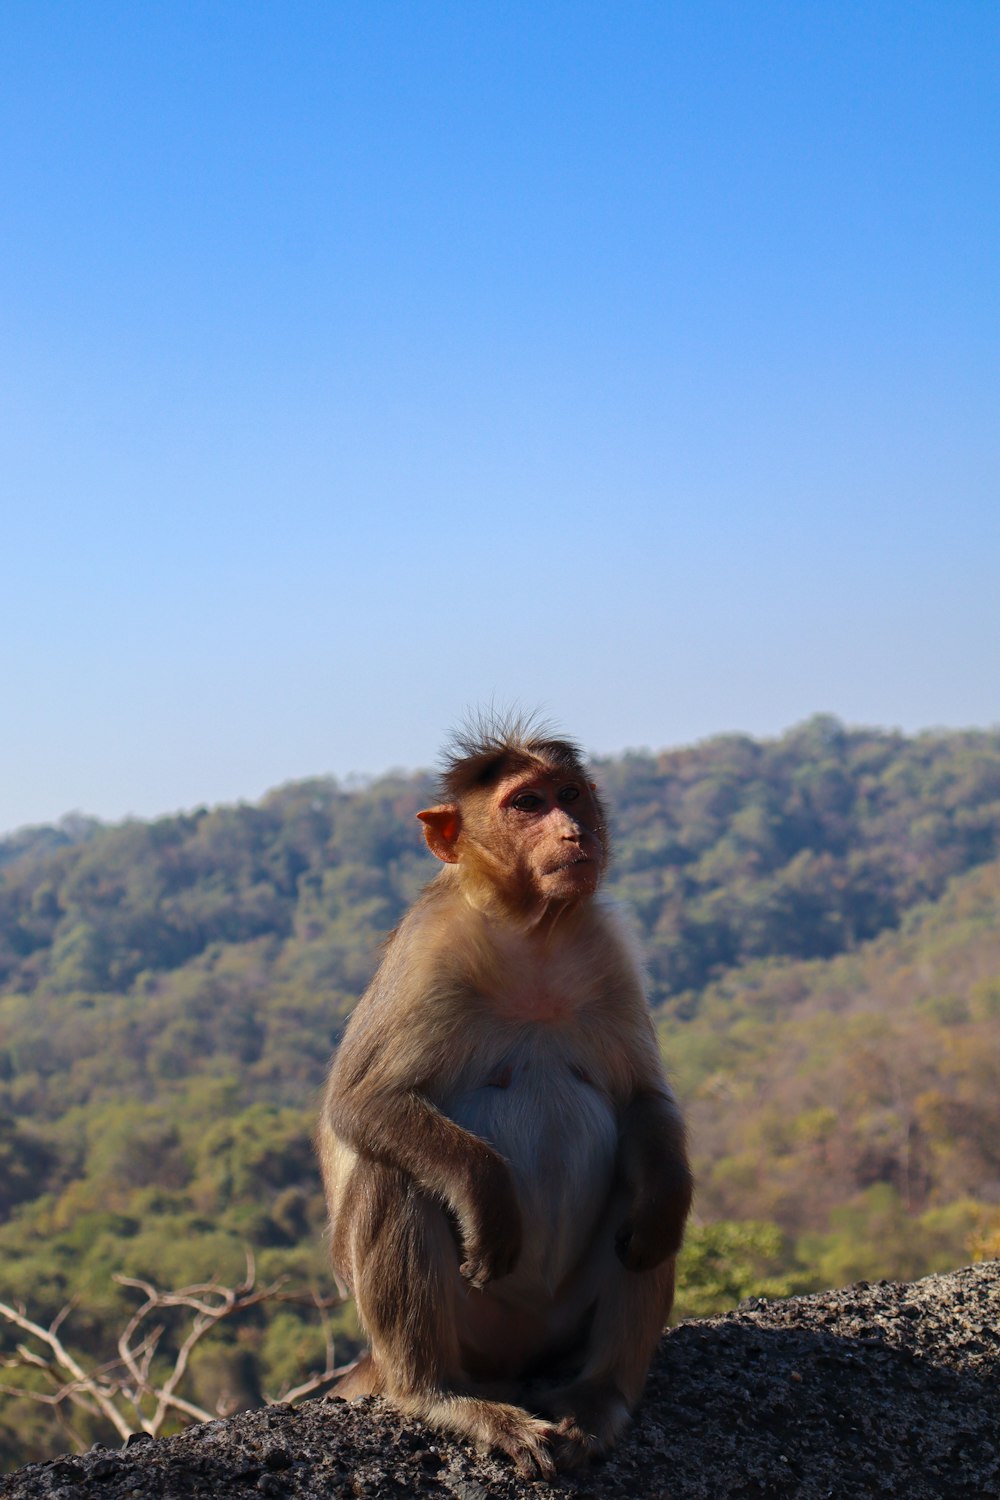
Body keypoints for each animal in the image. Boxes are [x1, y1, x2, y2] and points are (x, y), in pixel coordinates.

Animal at [316, 714, 692, 1476]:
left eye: (569, 794)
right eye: (526, 804)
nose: (573, 833)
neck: (533, 933)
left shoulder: (606, 948)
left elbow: (642, 1102)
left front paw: (669, 1196)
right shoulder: (430, 954)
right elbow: (361, 1104)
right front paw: (485, 1192)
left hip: (560, 1326)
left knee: (635, 1192)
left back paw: (599, 1395)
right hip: (468, 1329)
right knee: (392, 1174)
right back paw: (441, 1396)